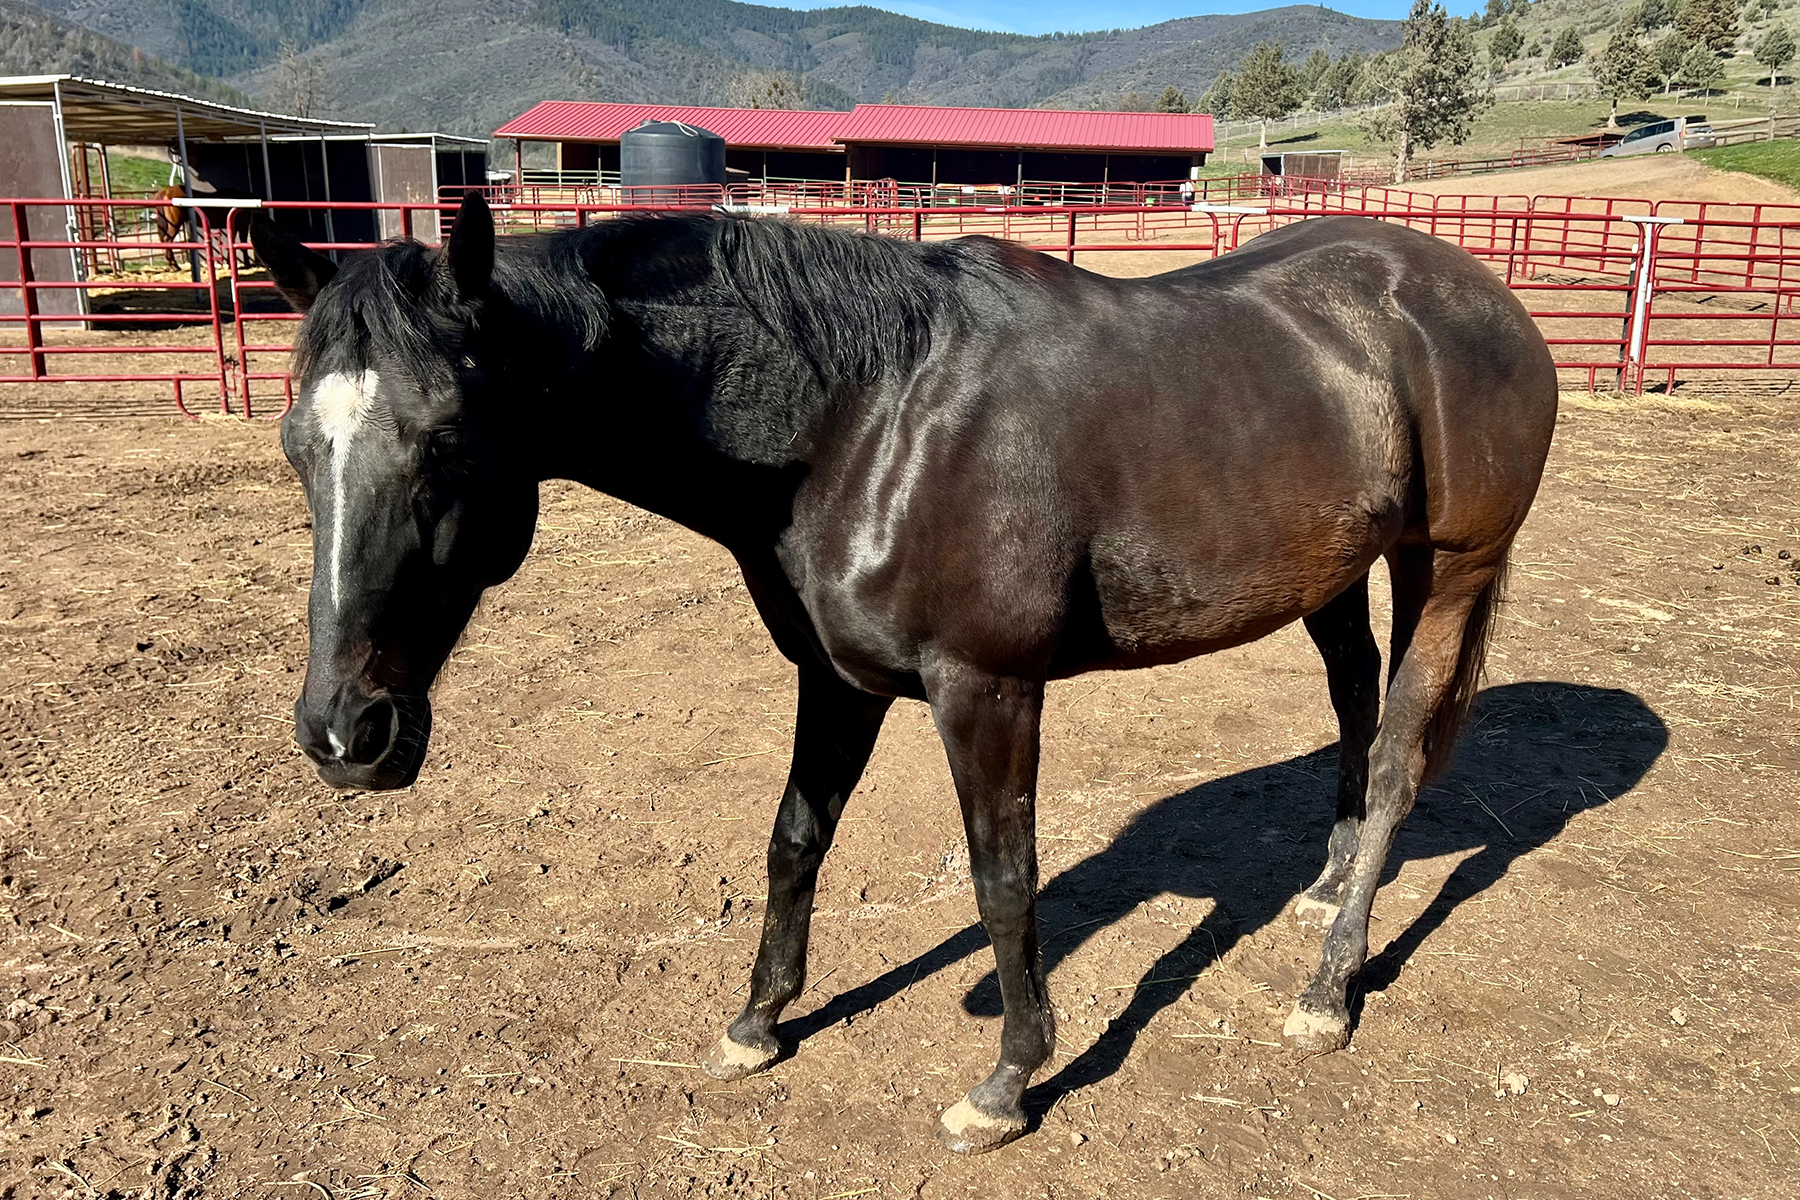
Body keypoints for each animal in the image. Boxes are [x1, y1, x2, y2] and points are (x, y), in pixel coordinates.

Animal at [249, 193, 1557, 1154]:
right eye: (298, 446)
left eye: (445, 439)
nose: (345, 733)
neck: (865, 417)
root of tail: (1473, 297)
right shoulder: (836, 679)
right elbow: (794, 840)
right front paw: (757, 1021)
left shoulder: (988, 689)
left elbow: (1004, 877)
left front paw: (1010, 1080)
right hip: (1333, 575)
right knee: (1354, 704)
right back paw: (1329, 890)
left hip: (1448, 570)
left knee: (1396, 760)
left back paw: (1329, 992)